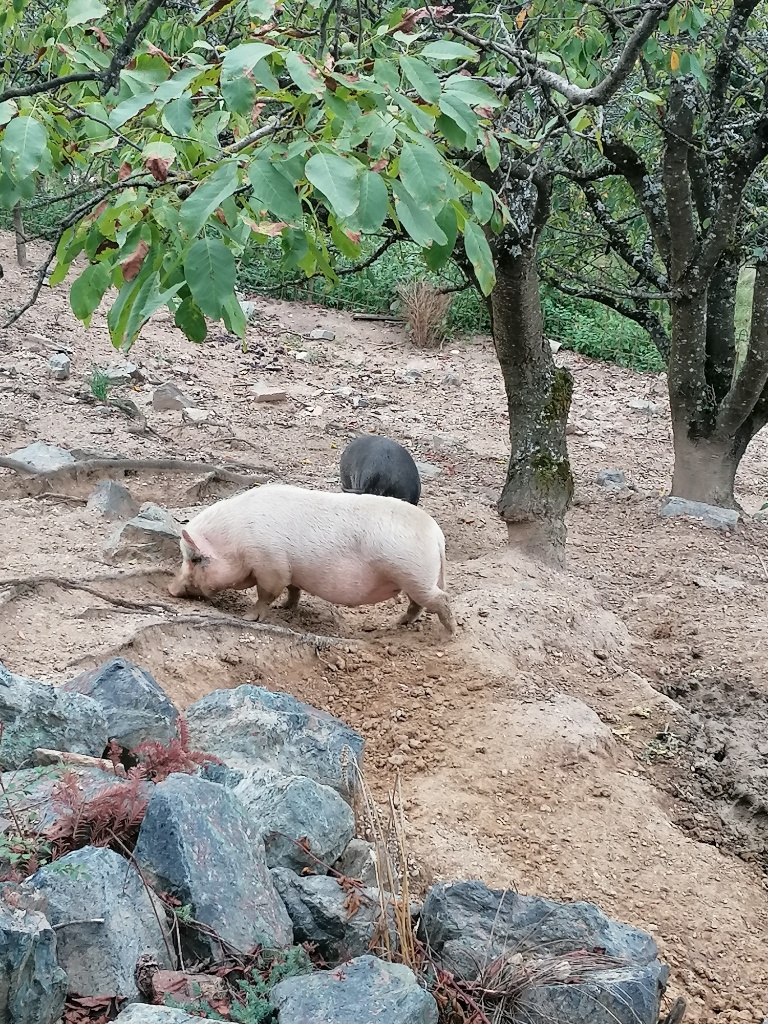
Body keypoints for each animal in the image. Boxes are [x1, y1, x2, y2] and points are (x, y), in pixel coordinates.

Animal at [168, 481, 456, 630]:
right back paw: (398, 625)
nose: (170, 589)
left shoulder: (271, 565)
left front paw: (248, 618)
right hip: (414, 579)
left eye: (195, 559)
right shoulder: (290, 570)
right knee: (419, 603)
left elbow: (266, 594)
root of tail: (437, 535)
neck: (236, 540)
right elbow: (293, 589)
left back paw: (448, 634)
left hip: (414, 574)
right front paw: (286, 608)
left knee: (441, 599)